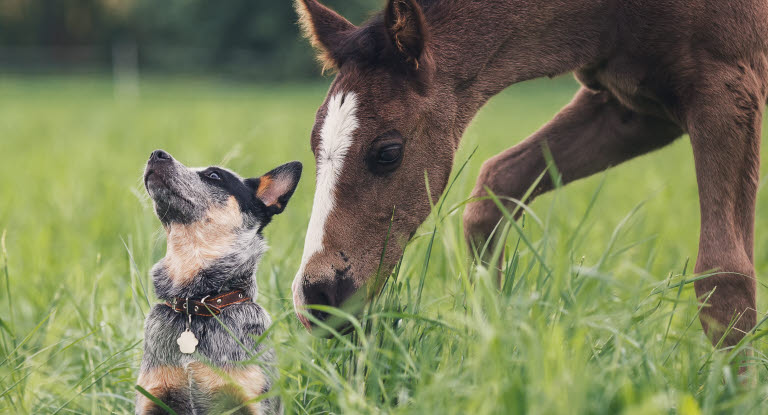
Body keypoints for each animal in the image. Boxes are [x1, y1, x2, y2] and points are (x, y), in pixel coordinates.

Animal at [290, 0, 768, 348]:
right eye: (313, 145)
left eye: (388, 152)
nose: (316, 298)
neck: (613, 15)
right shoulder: (634, 110)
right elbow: (494, 188)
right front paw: (493, 344)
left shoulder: (727, 90)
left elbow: (725, 275)